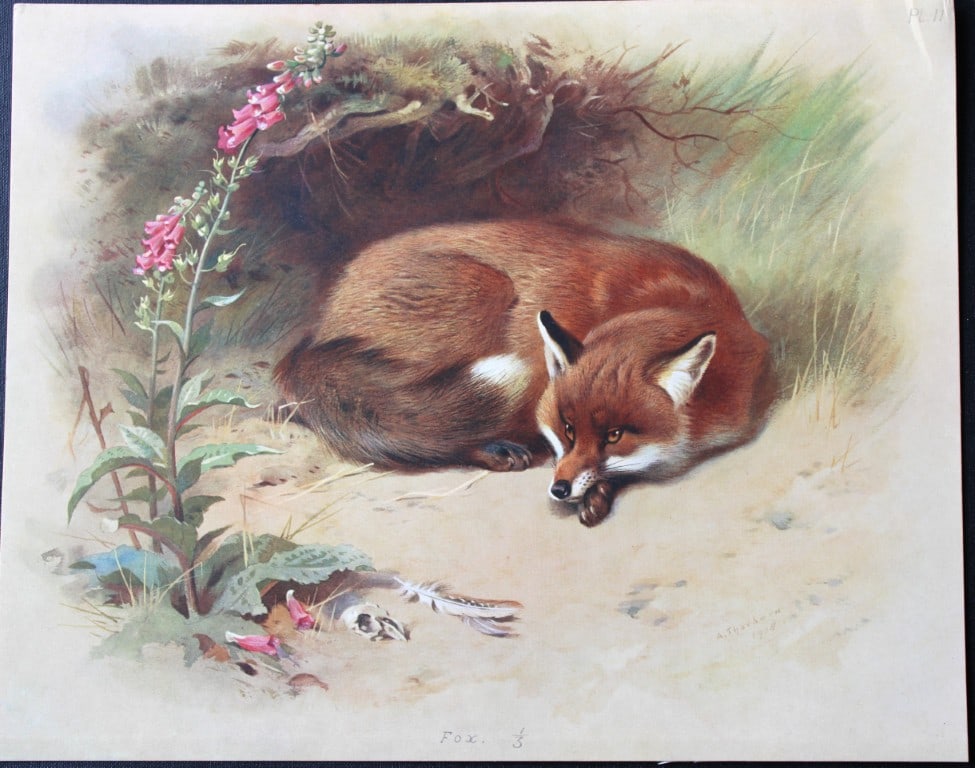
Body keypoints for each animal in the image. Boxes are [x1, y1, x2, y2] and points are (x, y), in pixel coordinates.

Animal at [274, 219, 775, 526]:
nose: (559, 489)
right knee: (419, 427)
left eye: (615, 435)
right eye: (567, 428)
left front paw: (600, 491)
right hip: (483, 291)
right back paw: (493, 450)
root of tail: (318, 328)